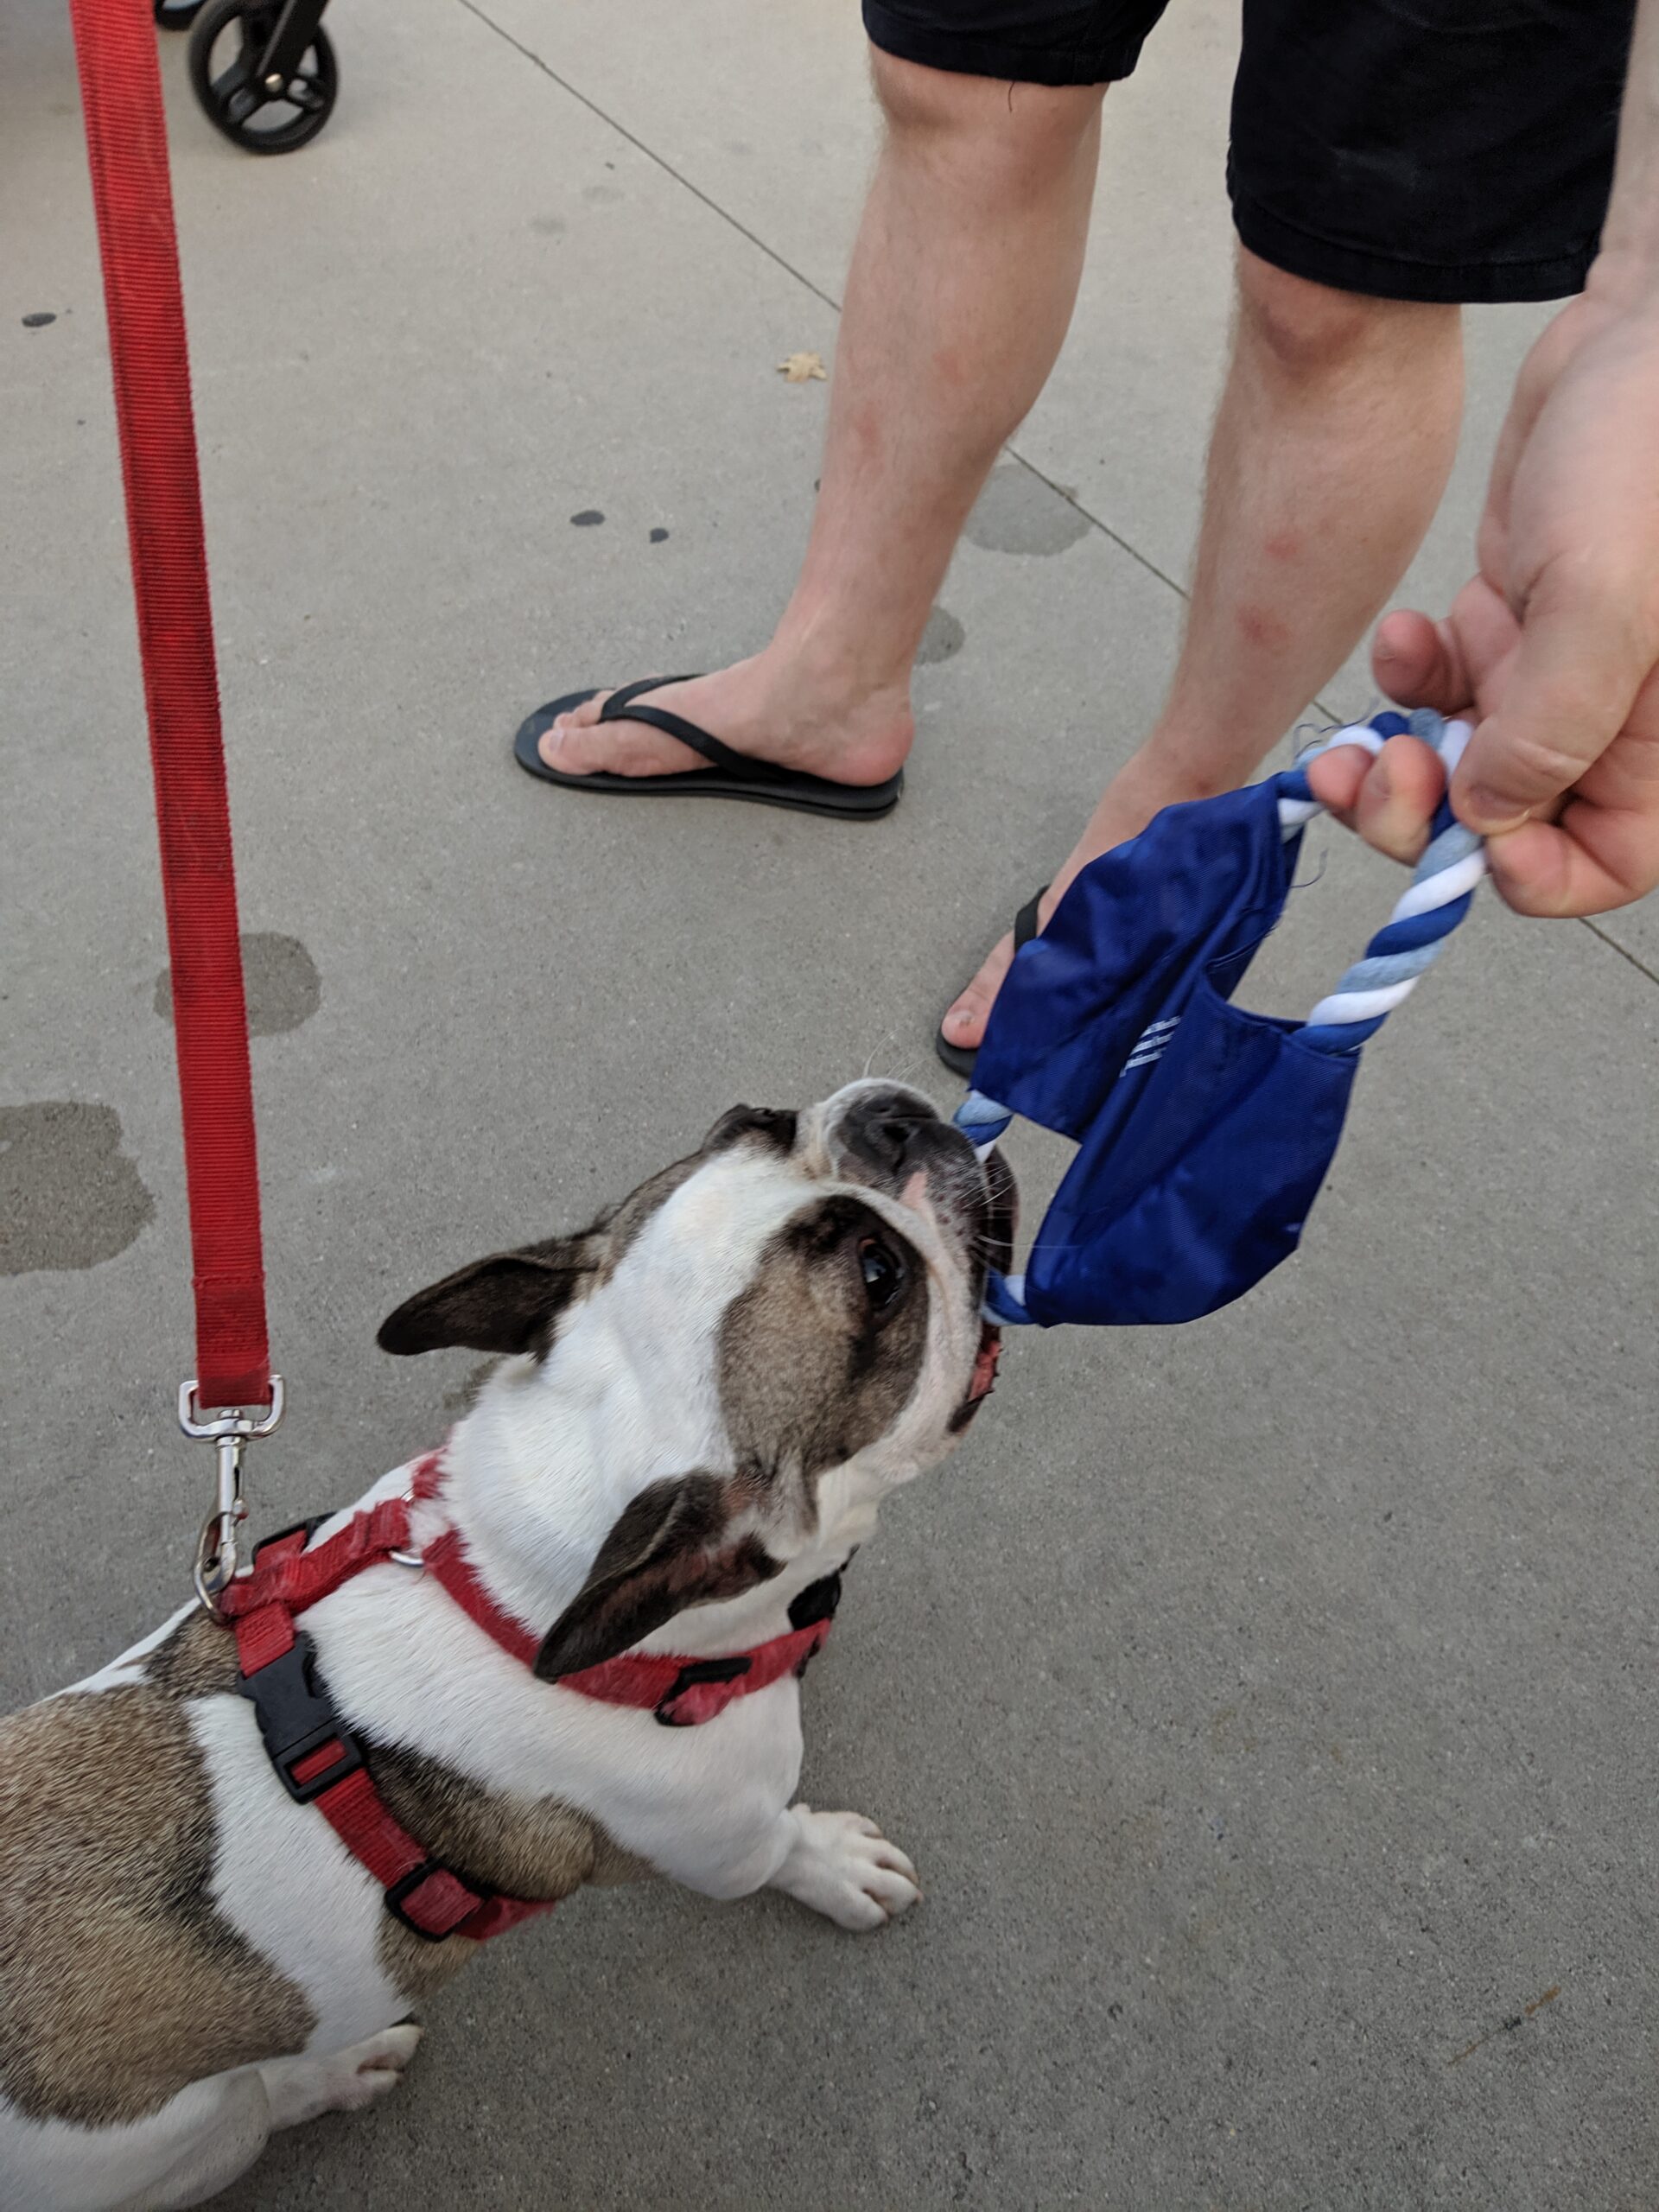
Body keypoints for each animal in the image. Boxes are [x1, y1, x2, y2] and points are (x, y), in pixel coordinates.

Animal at [0, 1079, 1021, 2202]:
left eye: (752, 1117)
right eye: (881, 1277)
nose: (899, 1117)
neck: (512, 1585)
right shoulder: (723, 1836)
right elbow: (781, 1847)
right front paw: (835, 1863)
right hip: (189, 2136)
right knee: (257, 2107)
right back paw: (336, 2069)